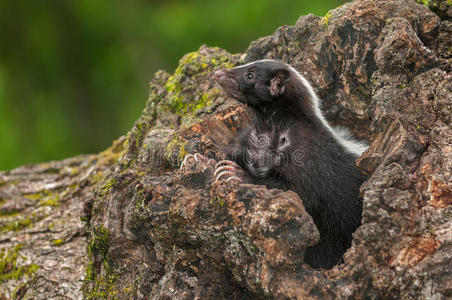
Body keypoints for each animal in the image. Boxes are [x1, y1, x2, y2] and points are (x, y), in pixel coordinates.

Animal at [214, 59, 366, 270]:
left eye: (250, 75)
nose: (217, 74)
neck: (269, 127)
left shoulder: (309, 156)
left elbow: (299, 193)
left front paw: (235, 173)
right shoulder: (249, 141)